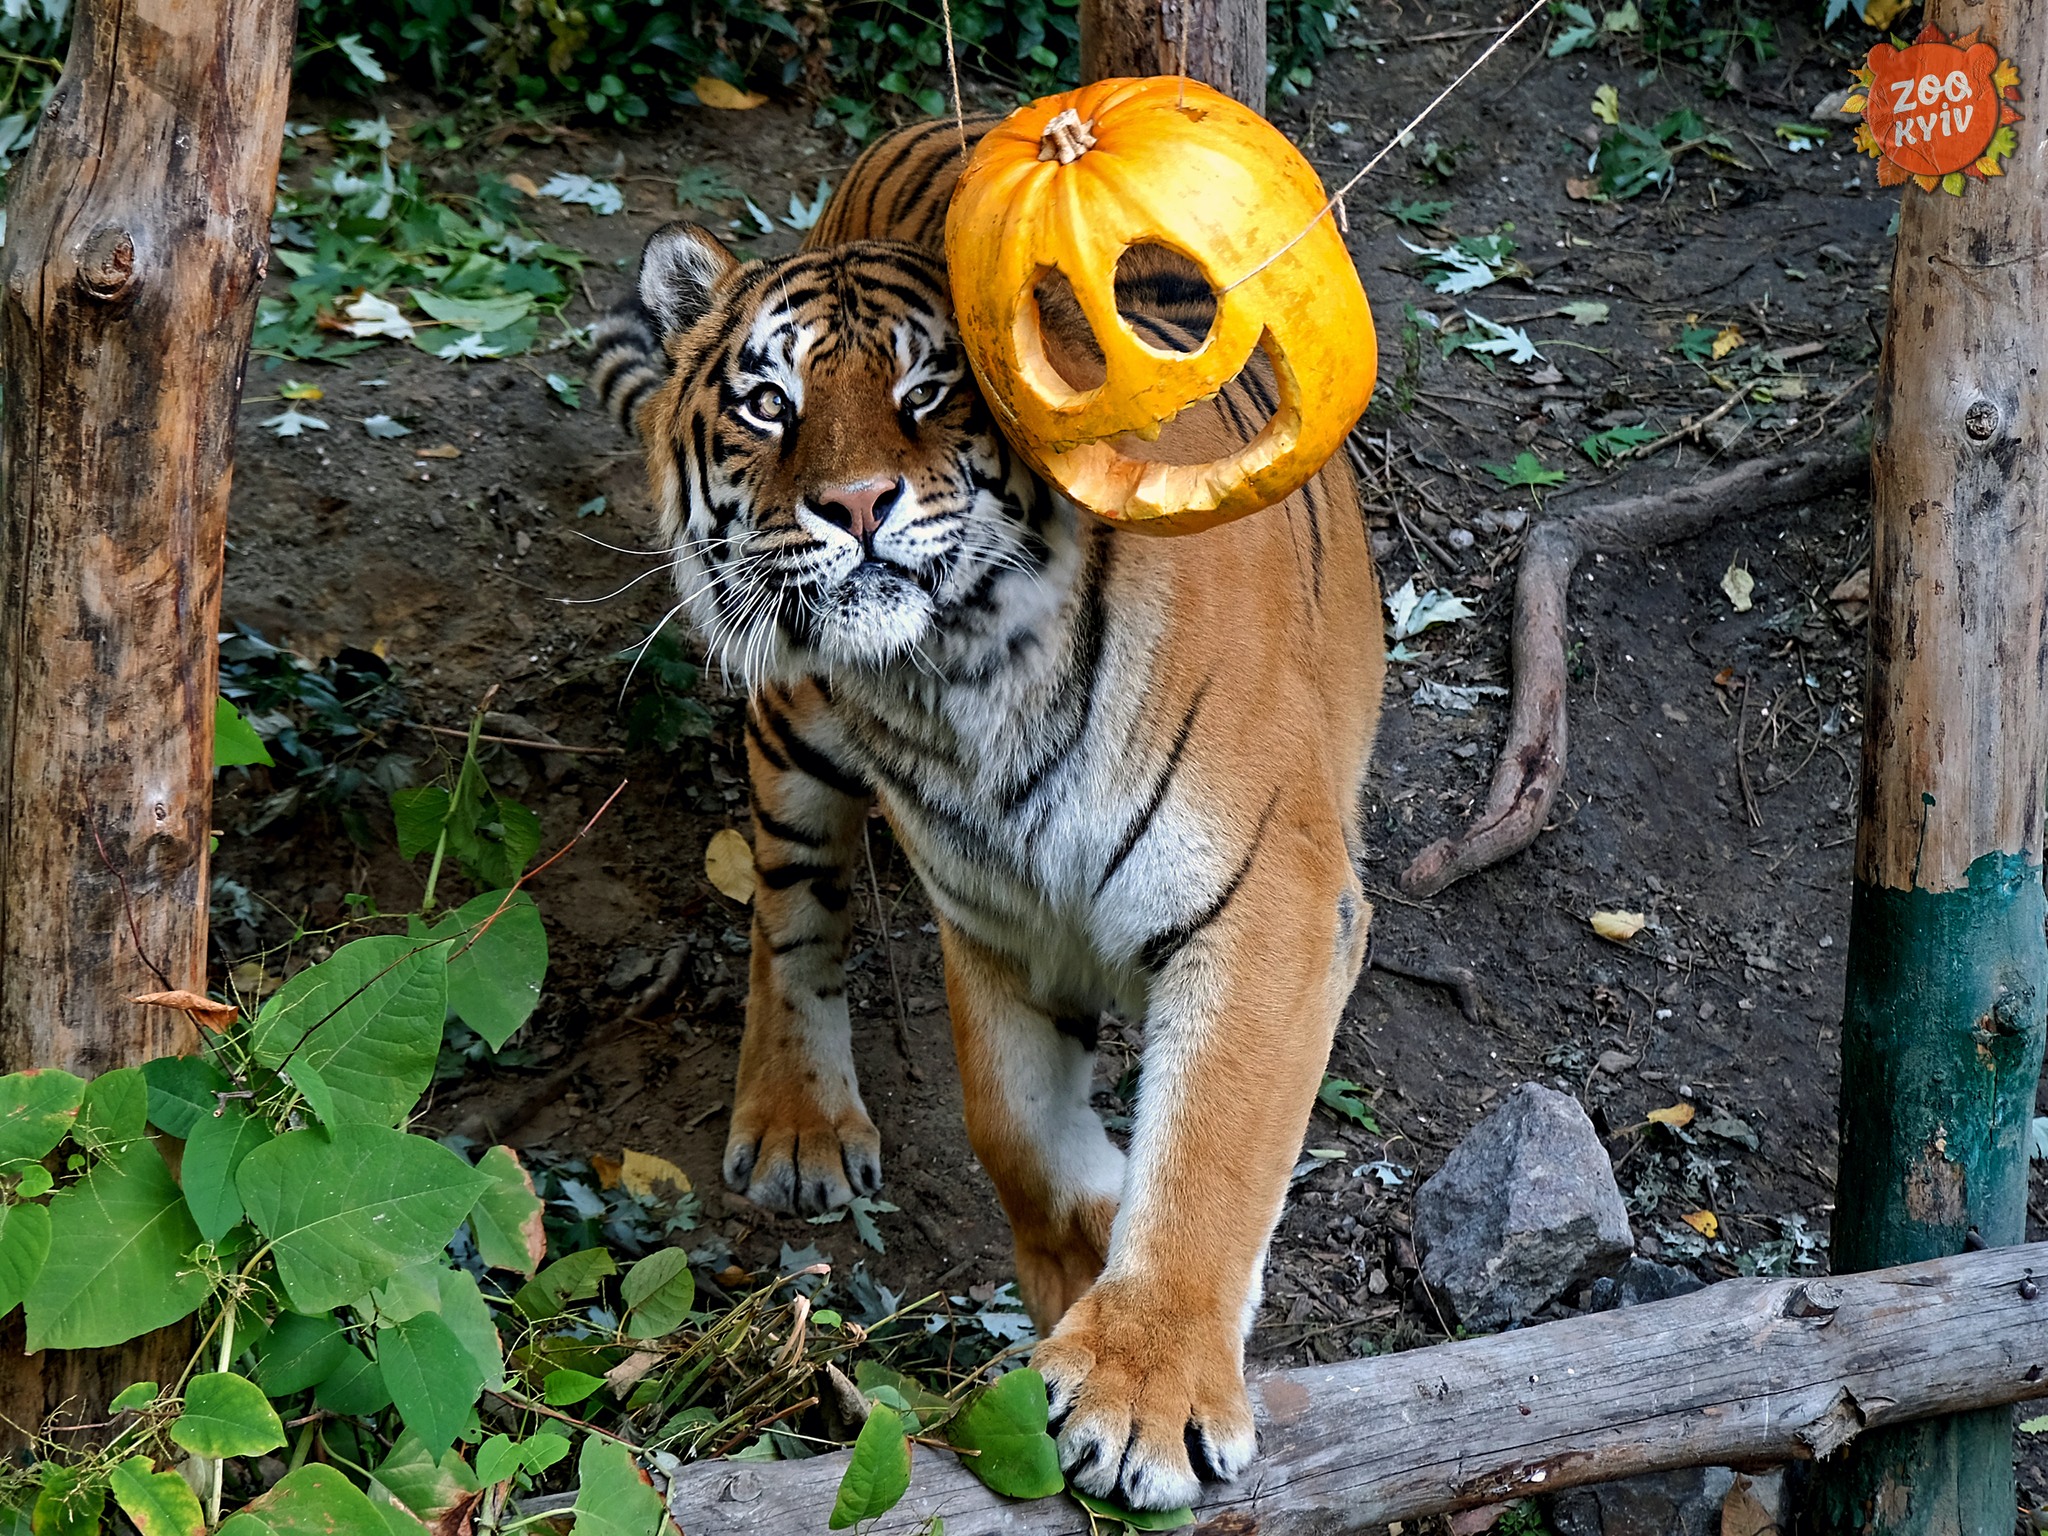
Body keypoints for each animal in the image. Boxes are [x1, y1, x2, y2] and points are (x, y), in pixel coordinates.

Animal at [593, 117, 1392, 1515]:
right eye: (766, 402)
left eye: (929, 393)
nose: (856, 505)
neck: (961, 679)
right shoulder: (995, 916)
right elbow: (1009, 1129)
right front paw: (1085, 1257)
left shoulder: (1269, 904)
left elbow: (1212, 1147)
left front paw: (1137, 1388)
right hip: (789, 713)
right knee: (789, 906)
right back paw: (798, 1122)